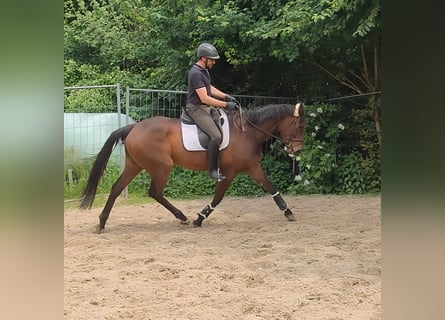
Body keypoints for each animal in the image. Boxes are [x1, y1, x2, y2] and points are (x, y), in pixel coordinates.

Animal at [78, 103, 304, 232]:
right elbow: (218, 198)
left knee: (117, 188)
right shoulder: (229, 173)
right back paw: (183, 217)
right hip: (162, 167)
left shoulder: (252, 167)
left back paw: (102, 223)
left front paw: (288, 212)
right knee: (154, 192)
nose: (297, 150)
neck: (247, 131)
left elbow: (271, 187)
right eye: (300, 125)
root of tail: (134, 127)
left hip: (135, 165)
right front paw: (199, 219)